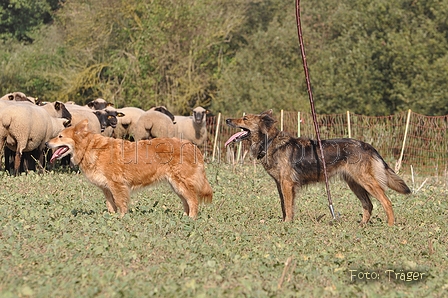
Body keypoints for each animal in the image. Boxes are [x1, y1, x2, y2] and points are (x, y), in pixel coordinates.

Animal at [47, 119, 214, 219]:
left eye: (60, 136)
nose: (47, 143)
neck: (89, 147)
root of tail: (193, 146)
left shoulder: (117, 185)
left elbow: (121, 204)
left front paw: (122, 219)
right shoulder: (106, 188)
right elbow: (111, 206)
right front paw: (112, 219)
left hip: (181, 183)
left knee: (193, 200)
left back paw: (191, 219)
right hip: (176, 186)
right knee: (187, 202)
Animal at [226, 110, 412, 226]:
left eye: (245, 119)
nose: (227, 120)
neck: (269, 141)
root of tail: (367, 145)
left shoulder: (286, 184)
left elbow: (288, 206)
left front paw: (287, 224)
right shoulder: (280, 185)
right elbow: (285, 206)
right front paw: (286, 222)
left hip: (365, 181)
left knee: (386, 201)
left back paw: (390, 225)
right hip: (355, 183)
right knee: (368, 205)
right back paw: (361, 226)